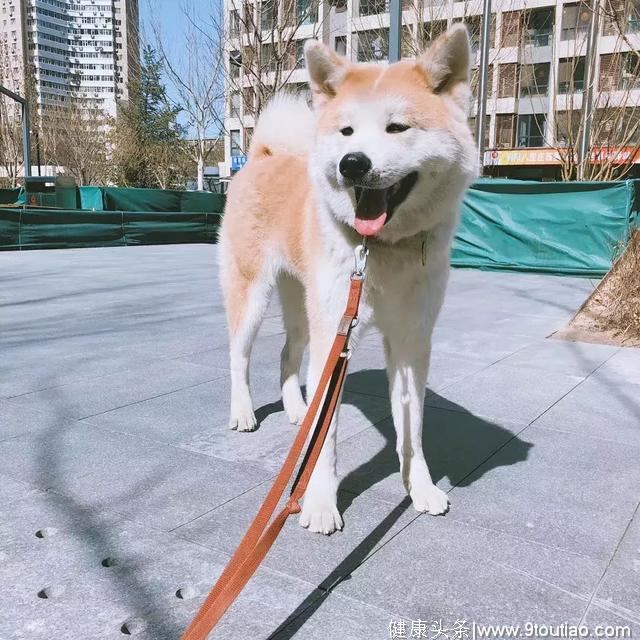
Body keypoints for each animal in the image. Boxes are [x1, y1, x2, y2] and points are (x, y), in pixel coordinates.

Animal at [219, 23, 476, 536]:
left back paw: (298, 411)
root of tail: (261, 155)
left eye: (397, 127)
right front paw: (319, 504)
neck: (381, 250)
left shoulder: (411, 341)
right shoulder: (336, 337)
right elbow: (329, 435)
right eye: (346, 132)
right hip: (255, 295)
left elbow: (412, 430)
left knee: (288, 353)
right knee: (240, 356)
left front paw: (420, 488)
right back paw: (243, 413)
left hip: (305, 310)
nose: (352, 163)